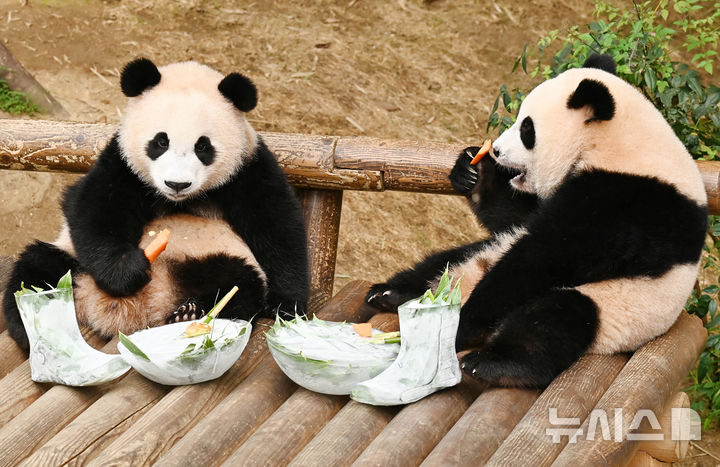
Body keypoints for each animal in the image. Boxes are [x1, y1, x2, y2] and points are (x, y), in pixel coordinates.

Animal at [2, 57, 310, 352]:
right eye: (161, 142)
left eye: (203, 146)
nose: (177, 184)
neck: (180, 200)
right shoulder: (122, 163)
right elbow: (93, 209)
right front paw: (126, 271)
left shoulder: (248, 170)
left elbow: (278, 228)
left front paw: (287, 306)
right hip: (73, 261)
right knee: (35, 270)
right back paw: (33, 330)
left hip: (221, 259)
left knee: (239, 286)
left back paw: (189, 314)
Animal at [368, 54, 704, 388]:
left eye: (527, 129)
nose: (497, 150)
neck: (621, 142)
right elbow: (518, 218)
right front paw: (473, 169)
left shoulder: (627, 201)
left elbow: (547, 257)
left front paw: (467, 324)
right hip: (483, 253)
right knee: (443, 262)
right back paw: (392, 293)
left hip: (617, 308)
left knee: (555, 319)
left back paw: (491, 362)